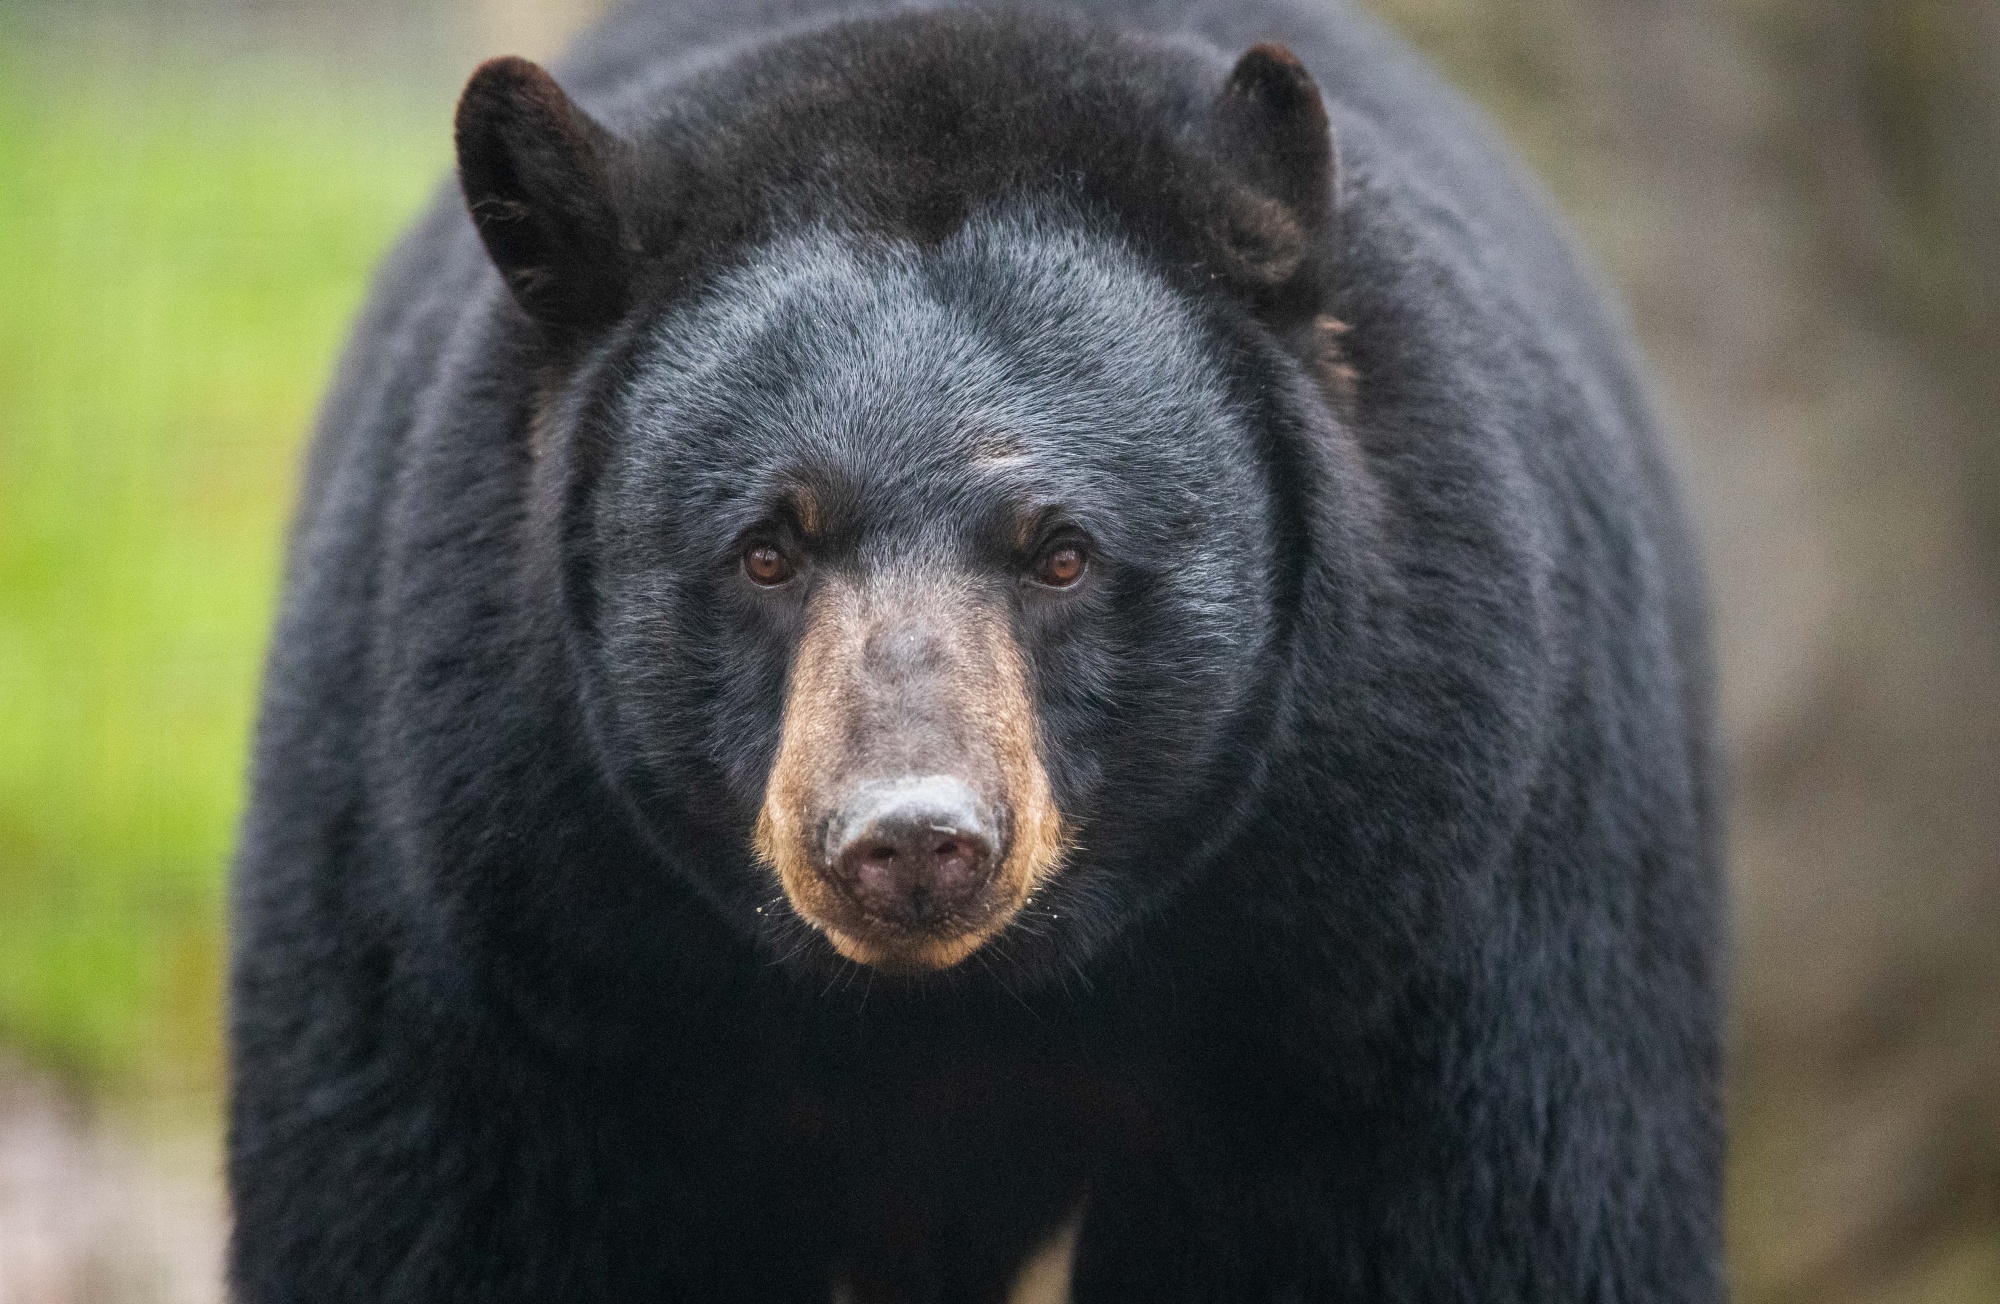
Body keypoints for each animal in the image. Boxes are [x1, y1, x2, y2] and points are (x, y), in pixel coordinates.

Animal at [230, 5, 1736, 1296]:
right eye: (765, 548)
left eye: (1060, 551)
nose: (909, 841)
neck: (951, 1022)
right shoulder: (509, 930)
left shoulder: (1398, 929)